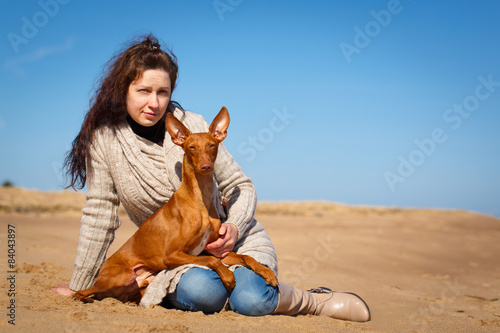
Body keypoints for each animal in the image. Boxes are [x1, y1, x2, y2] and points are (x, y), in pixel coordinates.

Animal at [73, 107, 280, 304]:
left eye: (212, 145)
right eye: (191, 147)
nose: (205, 166)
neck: (200, 200)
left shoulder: (215, 249)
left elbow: (245, 257)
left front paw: (266, 273)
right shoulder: (172, 255)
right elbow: (210, 260)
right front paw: (228, 276)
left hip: (138, 283)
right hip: (122, 275)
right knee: (85, 291)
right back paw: (81, 297)